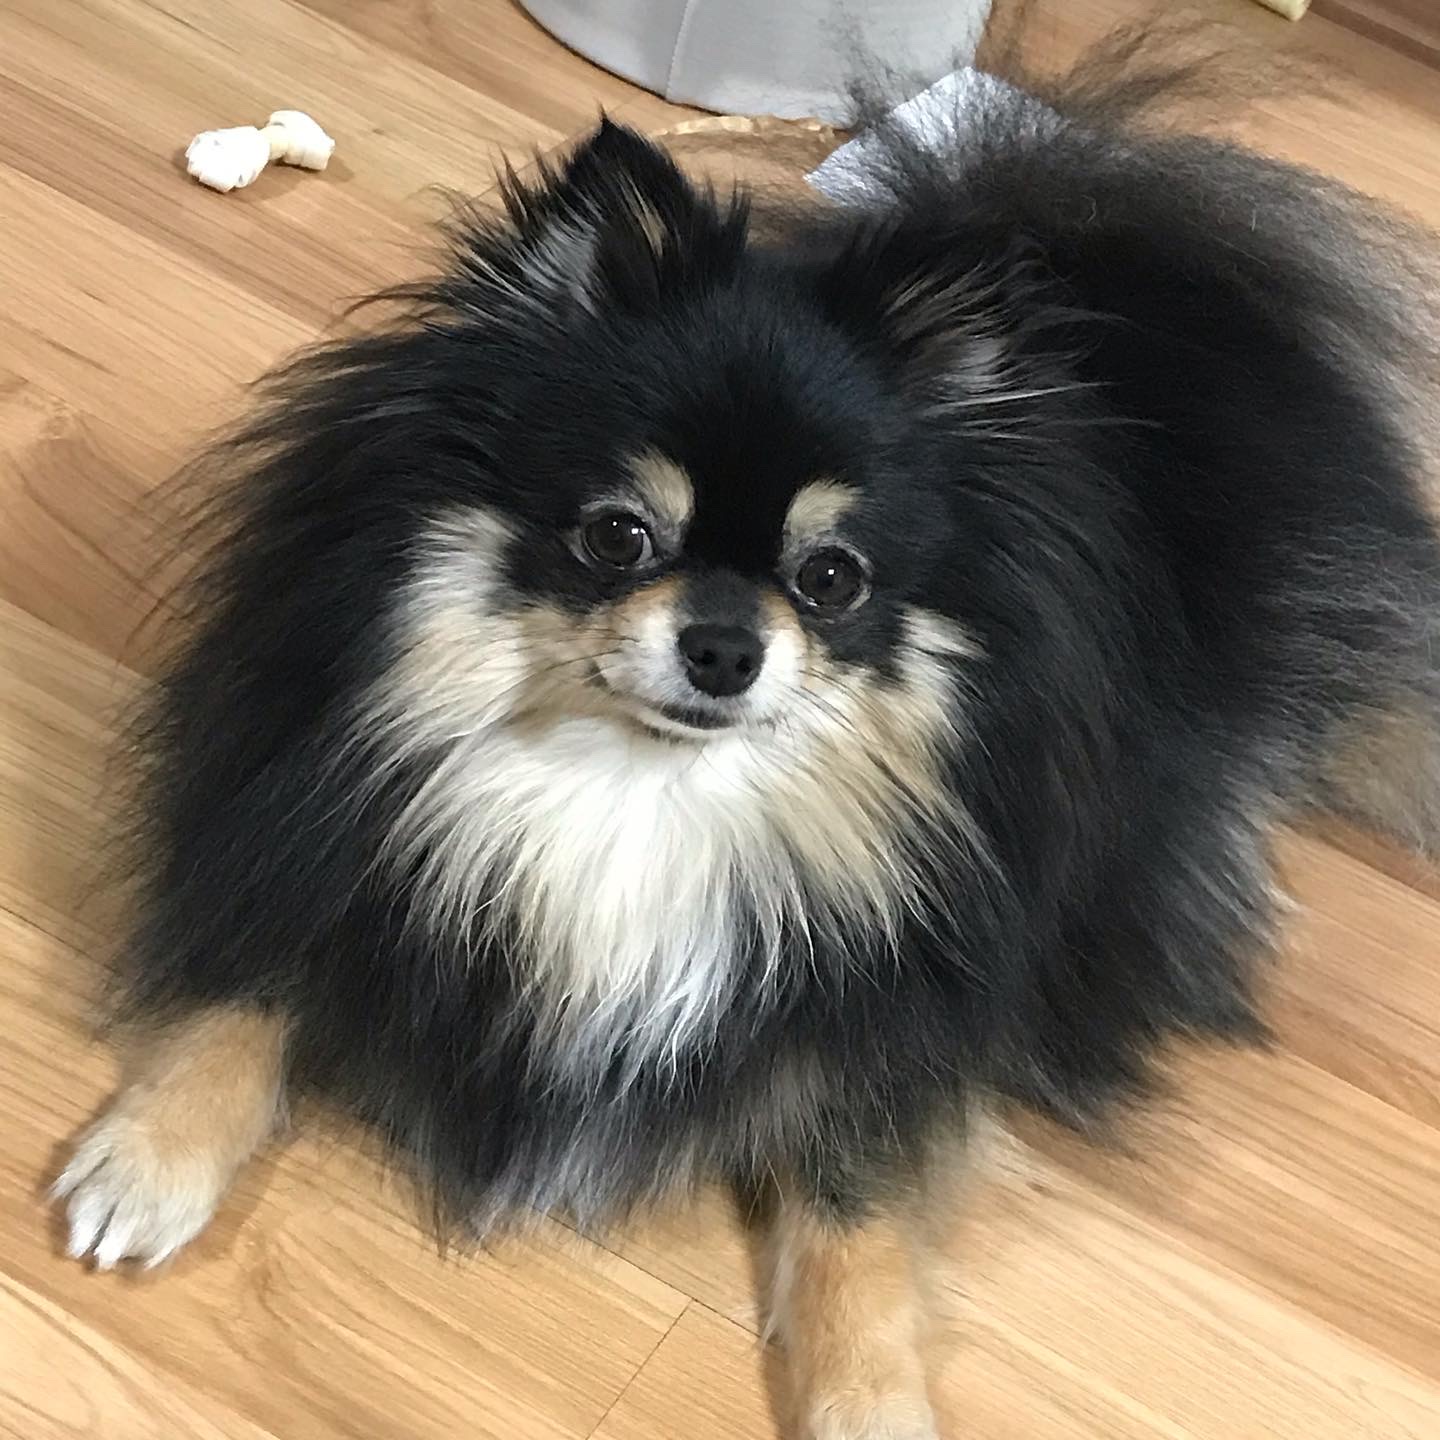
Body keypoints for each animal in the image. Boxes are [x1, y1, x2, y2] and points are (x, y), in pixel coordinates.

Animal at [55, 31, 1440, 1440]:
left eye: (831, 578)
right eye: (618, 535)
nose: (726, 646)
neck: (646, 789)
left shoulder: (898, 1012)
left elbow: (853, 1208)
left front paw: (870, 1397)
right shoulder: (313, 824)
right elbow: (249, 992)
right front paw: (147, 1161)